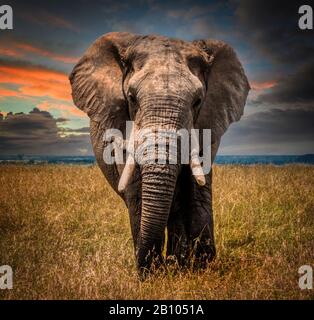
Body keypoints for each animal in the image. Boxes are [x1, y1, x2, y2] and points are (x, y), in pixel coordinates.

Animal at [69, 32, 250, 278]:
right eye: (131, 98)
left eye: (198, 101)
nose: (147, 269)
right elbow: (137, 191)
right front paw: (152, 276)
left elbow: (197, 186)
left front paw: (201, 269)